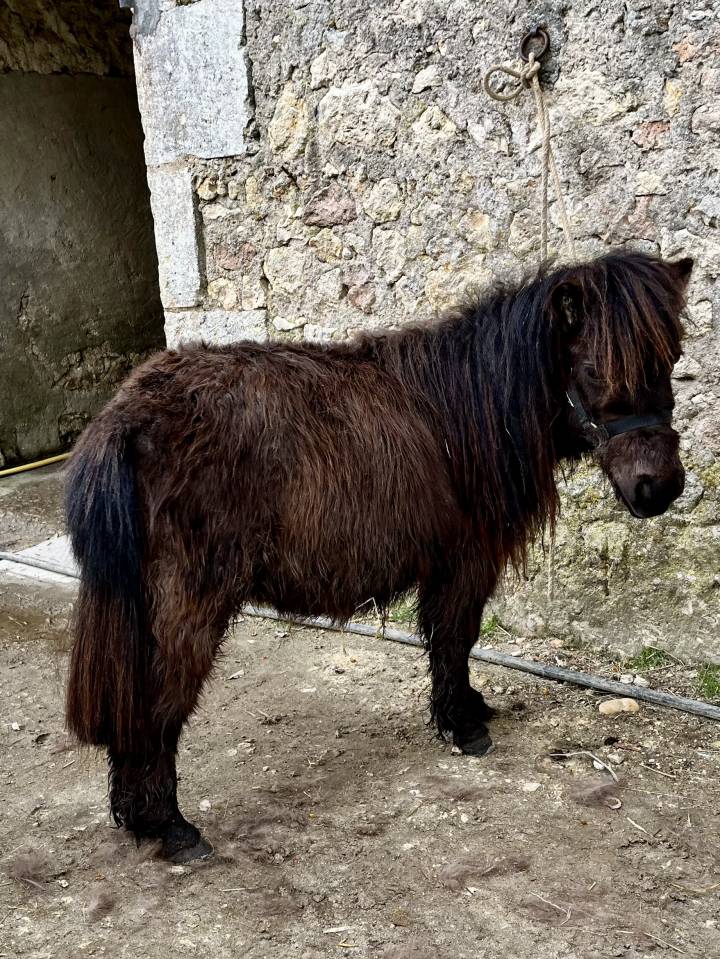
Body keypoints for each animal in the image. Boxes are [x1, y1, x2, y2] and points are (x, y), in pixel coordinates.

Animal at [65, 249, 692, 861]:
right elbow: (455, 639)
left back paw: (138, 817)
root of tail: (126, 414)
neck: (468, 408)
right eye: (593, 371)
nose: (658, 490)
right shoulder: (465, 562)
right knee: (157, 702)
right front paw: (463, 727)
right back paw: (170, 828)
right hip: (186, 604)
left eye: (671, 361)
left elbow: (448, 643)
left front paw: (465, 709)